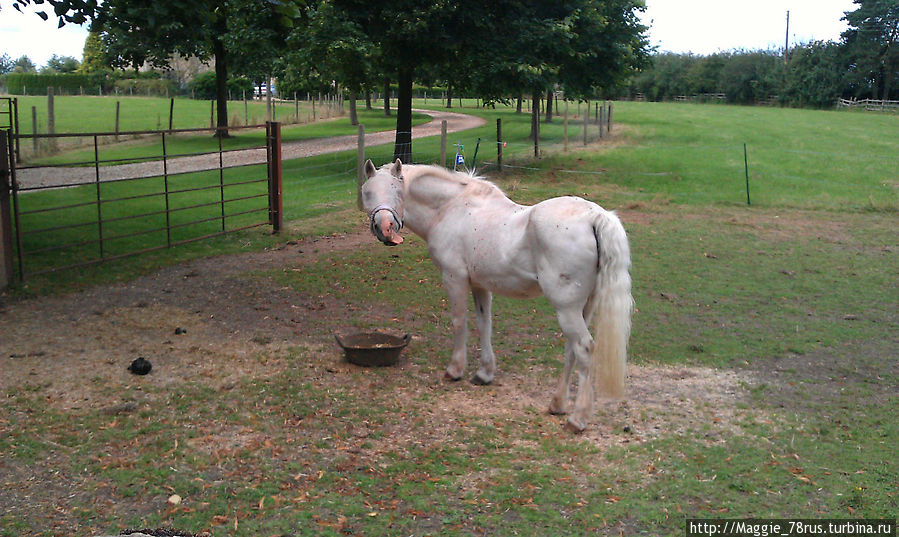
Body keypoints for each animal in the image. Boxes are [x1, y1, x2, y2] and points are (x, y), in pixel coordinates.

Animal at [358, 159, 632, 432]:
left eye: (397, 191)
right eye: (367, 193)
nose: (385, 229)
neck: (450, 209)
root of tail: (595, 217)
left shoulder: (454, 278)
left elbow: (459, 322)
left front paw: (455, 370)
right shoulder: (480, 285)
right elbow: (484, 324)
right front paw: (484, 373)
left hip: (566, 308)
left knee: (583, 348)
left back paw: (578, 419)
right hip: (583, 307)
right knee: (571, 349)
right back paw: (557, 404)